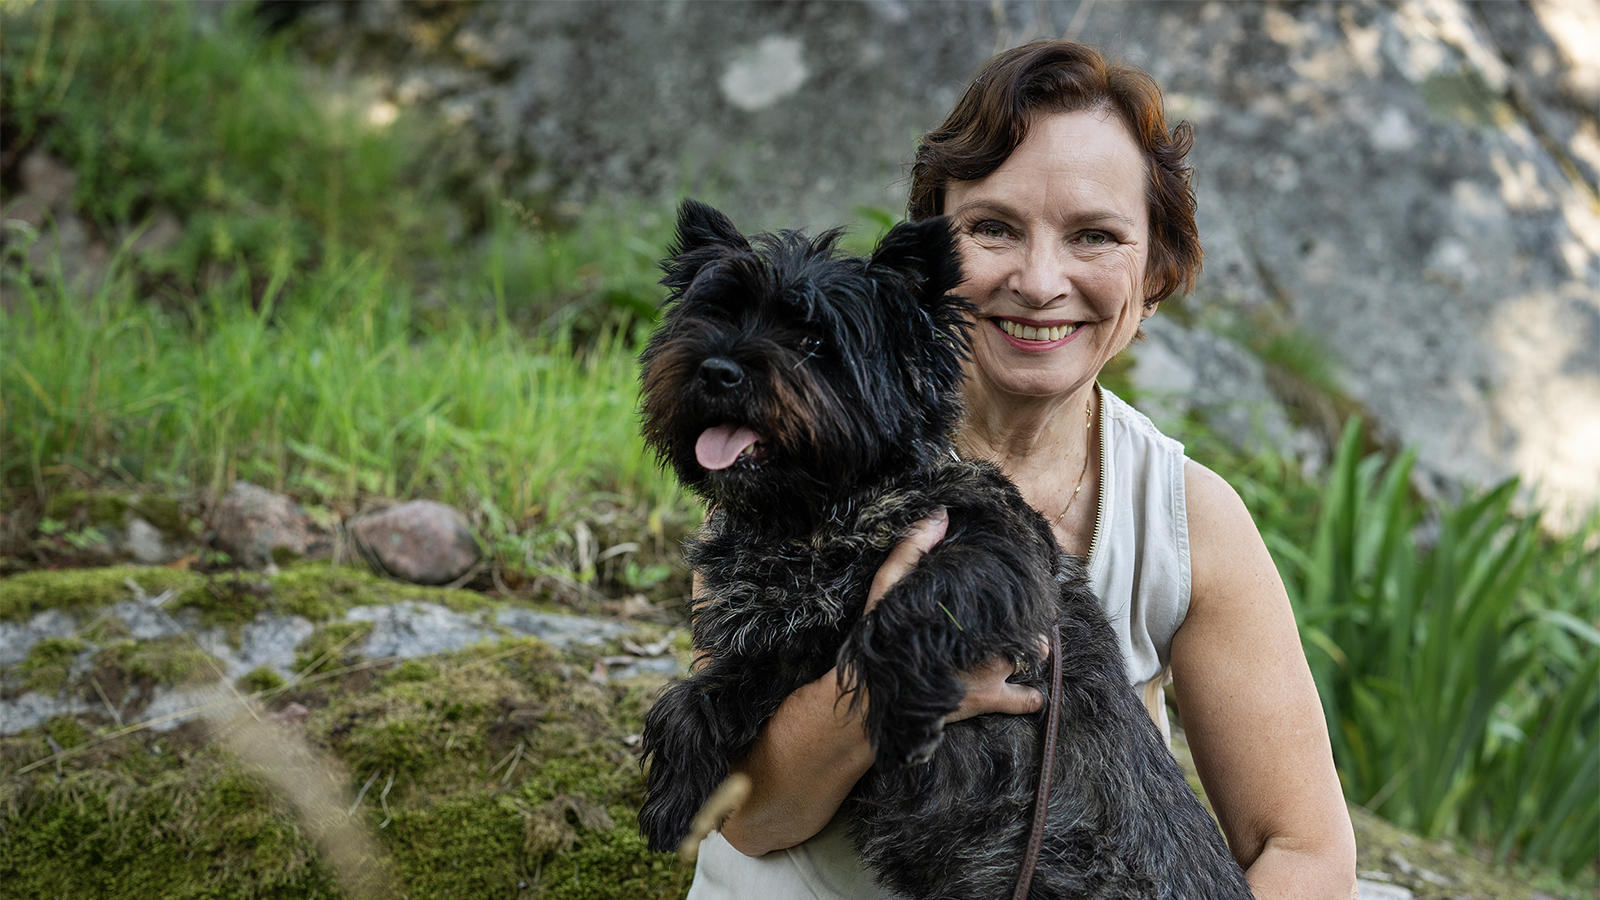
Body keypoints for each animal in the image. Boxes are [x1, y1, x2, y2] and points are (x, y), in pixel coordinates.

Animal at [636, 199, 1248, 890]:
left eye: (815, 340)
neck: (815, 520)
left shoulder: (997, 554)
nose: (716, 370)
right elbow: (699, 695)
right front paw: (673, 796)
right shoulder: (783, 644)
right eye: (717, 315)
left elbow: (901, 615)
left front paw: (904, 712)